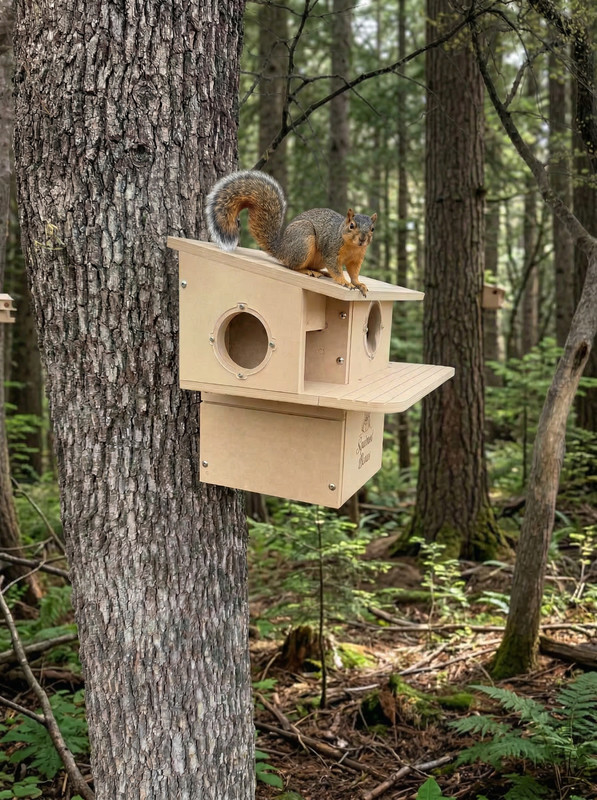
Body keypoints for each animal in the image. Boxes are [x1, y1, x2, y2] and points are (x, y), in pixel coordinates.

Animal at [205, 170, 377, 297]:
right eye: (352, 226)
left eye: (372, 229)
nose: (362, 239)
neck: (352, 246)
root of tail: (282, 250)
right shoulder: (331, 250)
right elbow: (336, 269)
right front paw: (344, 282)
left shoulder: (357, 259)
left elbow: (354, 273)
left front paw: (358, 284)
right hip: (304, 240)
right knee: (292, 266)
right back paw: (307, 271)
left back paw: (320, 271)